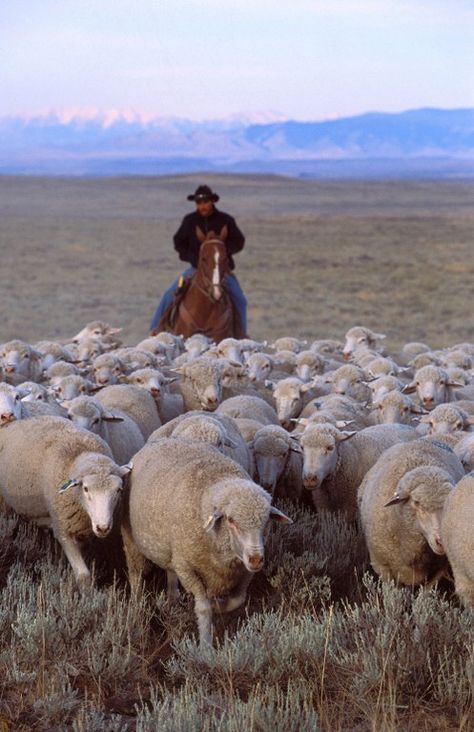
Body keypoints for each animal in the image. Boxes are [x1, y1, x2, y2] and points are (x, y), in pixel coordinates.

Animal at [0, 418, 131, 588]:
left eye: (119, 490)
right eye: (86, 488)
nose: (103, 527)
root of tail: (10, 424)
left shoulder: (80, 530)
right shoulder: (63, 529)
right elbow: (83, 575)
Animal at [121, 438, 292, 644]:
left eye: (266, 521)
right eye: (231, 520)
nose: (256, 559)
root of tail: (161, 440)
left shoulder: (244, 572)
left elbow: (238, 600)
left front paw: (219, 606)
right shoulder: (187, 569)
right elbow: (203, 608)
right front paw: (205, 644)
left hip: (170, 549)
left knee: (169, 571)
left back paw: (172, 601)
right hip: (132, 543)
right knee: (136, 577)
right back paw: (136, 612)